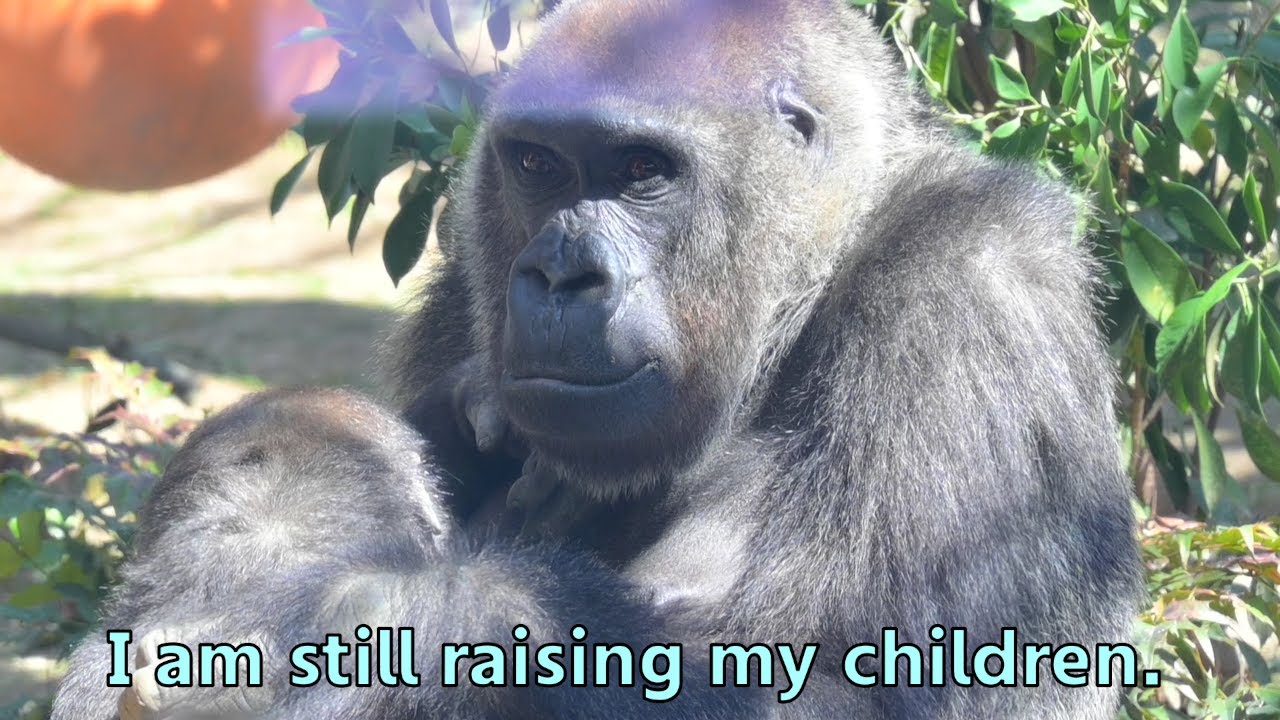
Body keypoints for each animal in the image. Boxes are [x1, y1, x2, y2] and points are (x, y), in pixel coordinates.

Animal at [56, 0, 1143, 717]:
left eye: (641, 171)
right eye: (538, 162)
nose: (558, 274)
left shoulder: (970, 291)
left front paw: (377, 624)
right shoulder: (469, 269)